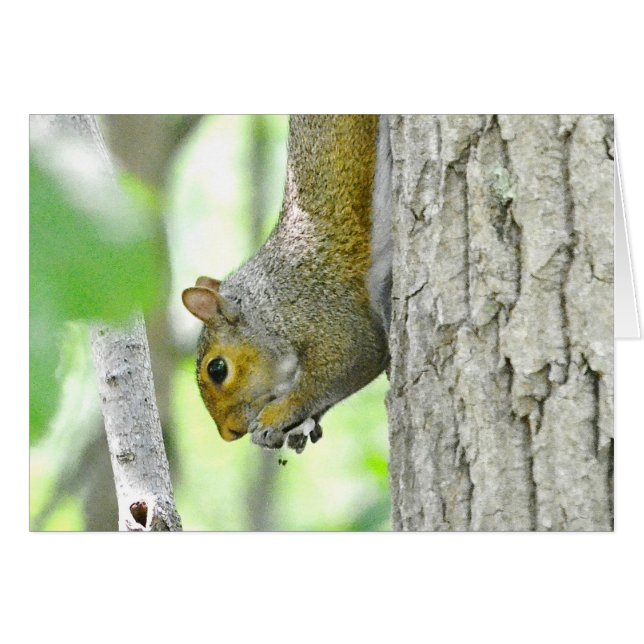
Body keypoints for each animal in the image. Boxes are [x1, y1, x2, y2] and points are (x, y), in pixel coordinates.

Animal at [182, 115, 393, 453]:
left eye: (217, 369)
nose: (230, 433)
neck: (269, 305)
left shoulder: (323, 311)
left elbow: (352, 359)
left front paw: (275, 416)